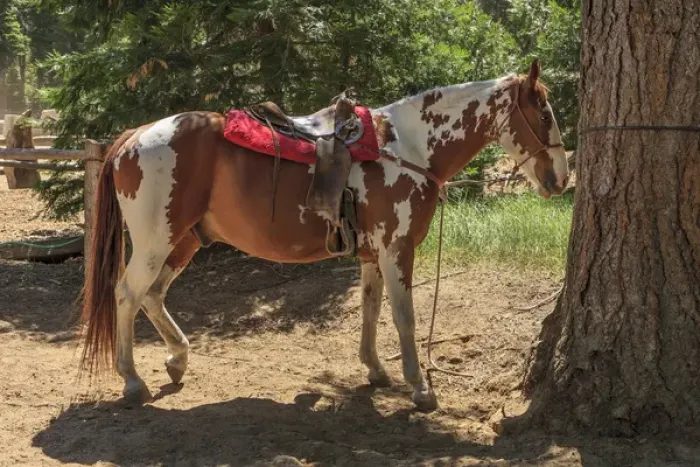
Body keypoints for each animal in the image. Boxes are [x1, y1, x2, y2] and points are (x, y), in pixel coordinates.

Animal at [80, 60, 568, 411]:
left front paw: (375, 370)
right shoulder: (397, 249)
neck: (407, 147)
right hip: (155, 242)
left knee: (153, 295)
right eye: (544, 112)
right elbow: (404, 317)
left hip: (185, 241)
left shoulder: (373, 254)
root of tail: (134, 137)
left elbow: (371, 309)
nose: (561, 179)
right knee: (127, 294)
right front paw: (420, 388)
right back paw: (132, 381)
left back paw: (177, 359)